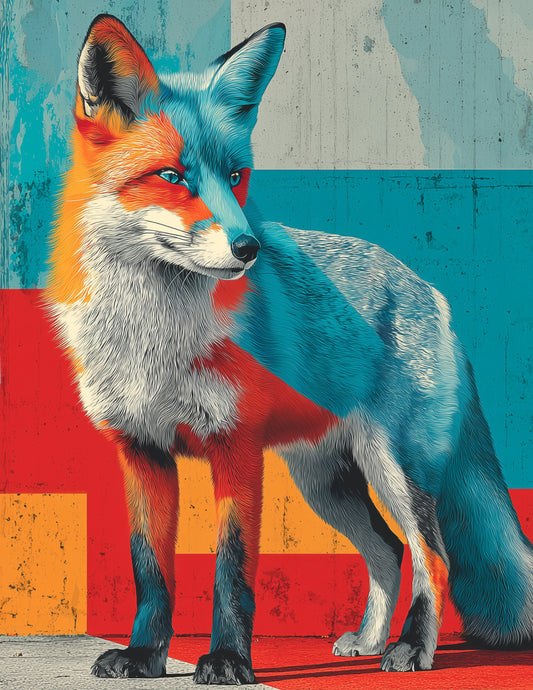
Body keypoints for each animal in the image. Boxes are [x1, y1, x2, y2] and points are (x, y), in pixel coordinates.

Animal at [45, 13, 533, 685]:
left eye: (235, 177)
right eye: (172, 177)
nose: (249, 249)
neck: (153, 340)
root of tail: (429, 289)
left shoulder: (236, 447)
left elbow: (232, 571)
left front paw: (228, 660)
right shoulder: (141, 451)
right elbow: (151, 571)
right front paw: (145, 656)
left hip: (395, 467)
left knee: (431, 557)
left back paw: (413, 650)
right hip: (326, 484)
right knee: (387, 550)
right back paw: (369, 640)